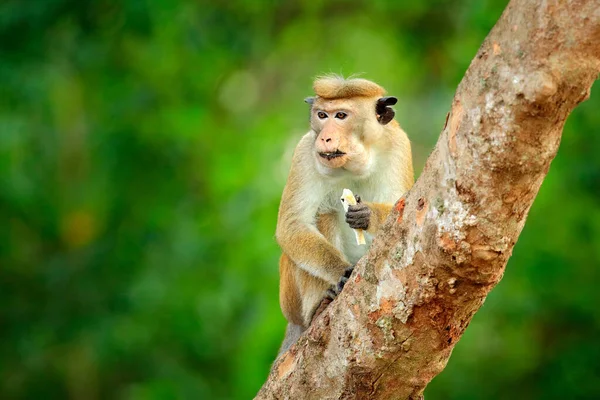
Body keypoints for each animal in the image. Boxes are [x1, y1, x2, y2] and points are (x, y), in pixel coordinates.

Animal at [276, 76, 412, 356]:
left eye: (340, 115)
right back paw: (320, 305)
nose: (325, 138)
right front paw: (340, 272)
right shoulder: (305, 152)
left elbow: (401, 208)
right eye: (321, 115)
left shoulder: (398, 145)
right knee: (324, 214)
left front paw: (368, 215)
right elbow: (292, 224)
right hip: (290, 301)